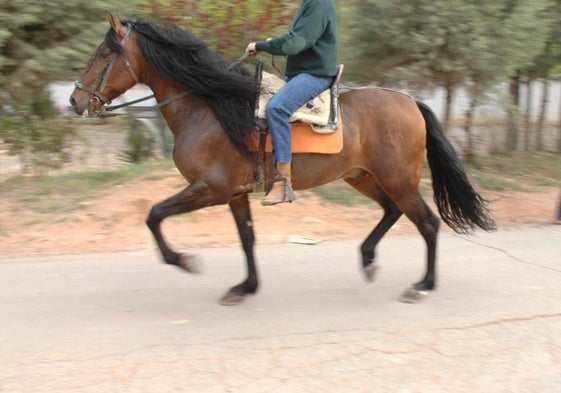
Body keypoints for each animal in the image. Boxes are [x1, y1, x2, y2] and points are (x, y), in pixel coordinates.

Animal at [70, 13, 494, 304]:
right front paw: (245, 287)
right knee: (391, 211)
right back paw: (369, 259)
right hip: (362, 176)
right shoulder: (235, 193)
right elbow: (247, 238)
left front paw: (185, 261)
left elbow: (154, 214)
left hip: (398, 179)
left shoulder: (211, 189)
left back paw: (422, 285)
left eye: (104, 53)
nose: (75, 100)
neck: (207, 107)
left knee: (427, 223)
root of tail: (410, 102)